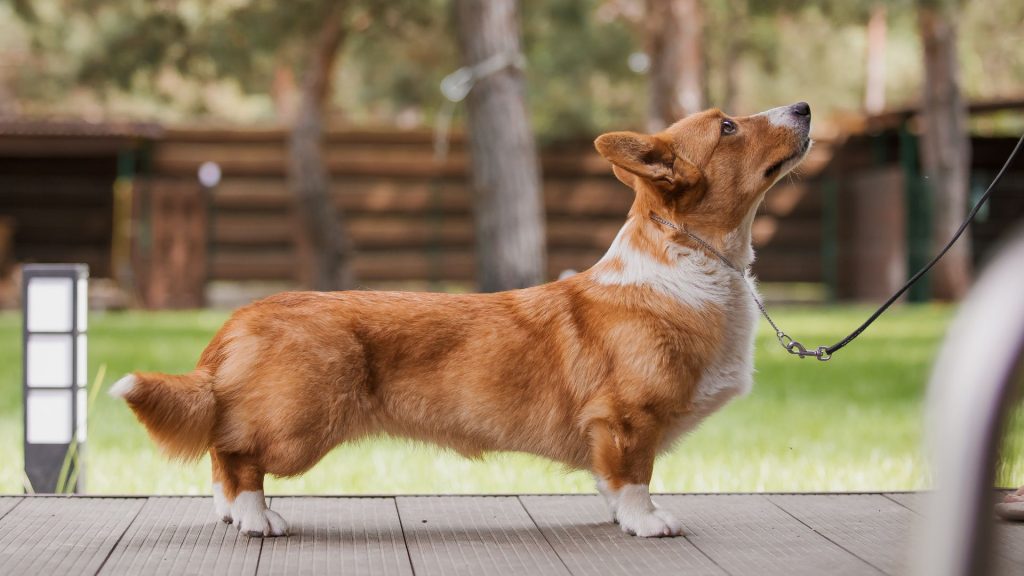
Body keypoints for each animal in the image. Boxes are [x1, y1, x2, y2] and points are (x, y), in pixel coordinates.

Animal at [112, 100, 811, 537]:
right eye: (727, 126)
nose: (804, 108)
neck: (692, 261)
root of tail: (239, 319)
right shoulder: (627, 420)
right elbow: (635, 478)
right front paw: (646, 524)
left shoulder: (610, 431)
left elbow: (610, 482)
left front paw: (620, 516)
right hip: (298, 426)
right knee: (235, 454)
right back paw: (257, 519)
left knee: (220, 451)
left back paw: (233, 515)